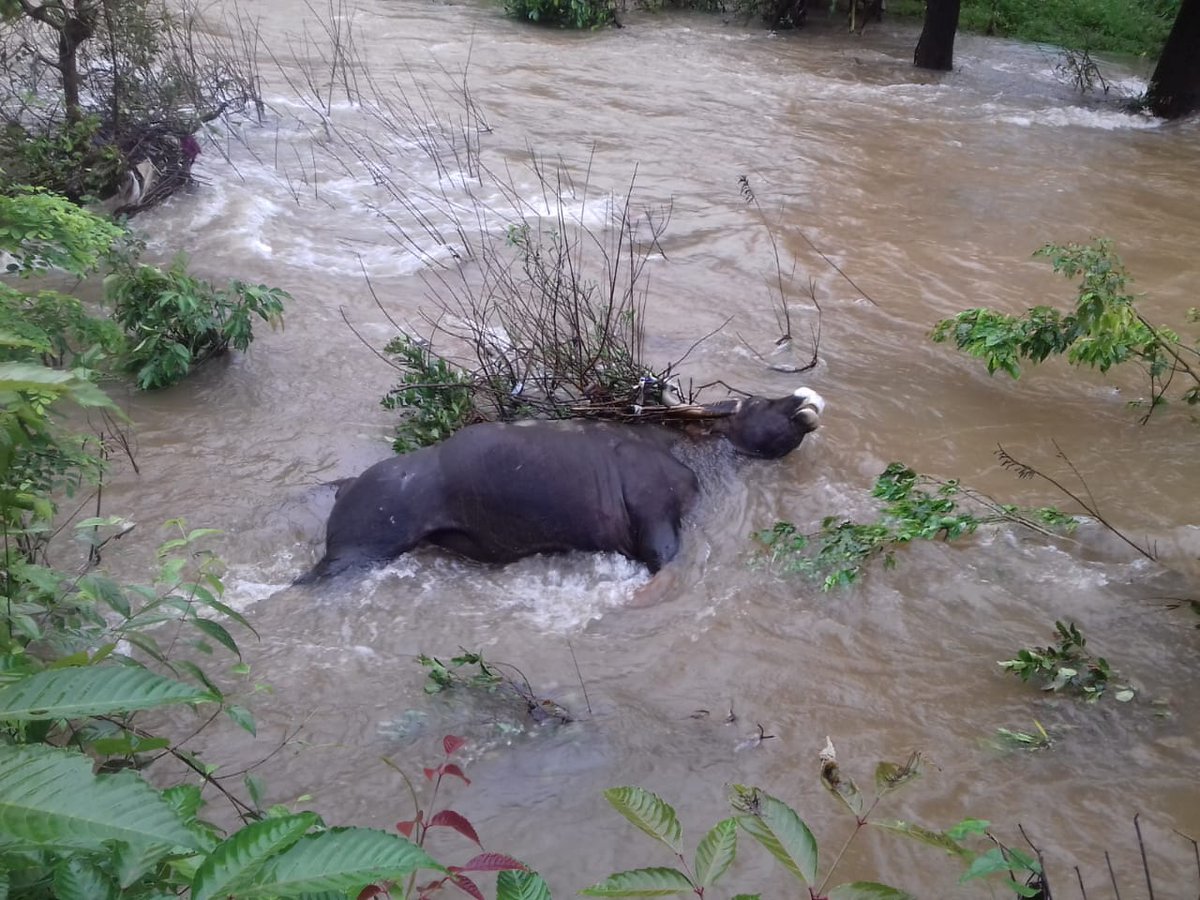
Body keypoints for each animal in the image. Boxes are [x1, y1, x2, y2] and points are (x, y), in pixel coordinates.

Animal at [297, 387, 825, 583]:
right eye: (758, 403)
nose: (805, 398)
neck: (693, 453)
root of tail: (348, 487)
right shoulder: (658, 525)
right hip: (353, 556)